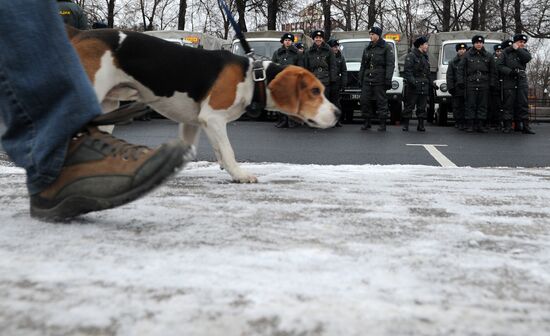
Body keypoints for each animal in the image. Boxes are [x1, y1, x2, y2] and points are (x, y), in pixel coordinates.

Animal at [67, 27, 342, 182]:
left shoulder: (195, 121)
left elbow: (200, 148)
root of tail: (79, 33)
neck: (254, 77)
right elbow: (228, 150)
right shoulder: (214, 118)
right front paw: (239, 175)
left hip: (109, 104)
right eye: (315, 91)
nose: (338, 113)